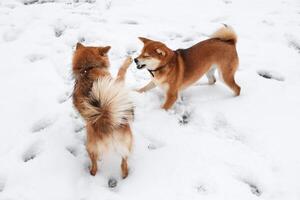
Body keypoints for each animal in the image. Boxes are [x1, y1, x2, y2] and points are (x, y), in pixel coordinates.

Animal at [72, 43, 133, 180]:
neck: (88, 69)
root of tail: (106, 120)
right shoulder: (117, 83)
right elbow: (121, 70)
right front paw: (128, 61)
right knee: (112, 164)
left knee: (113, 165)